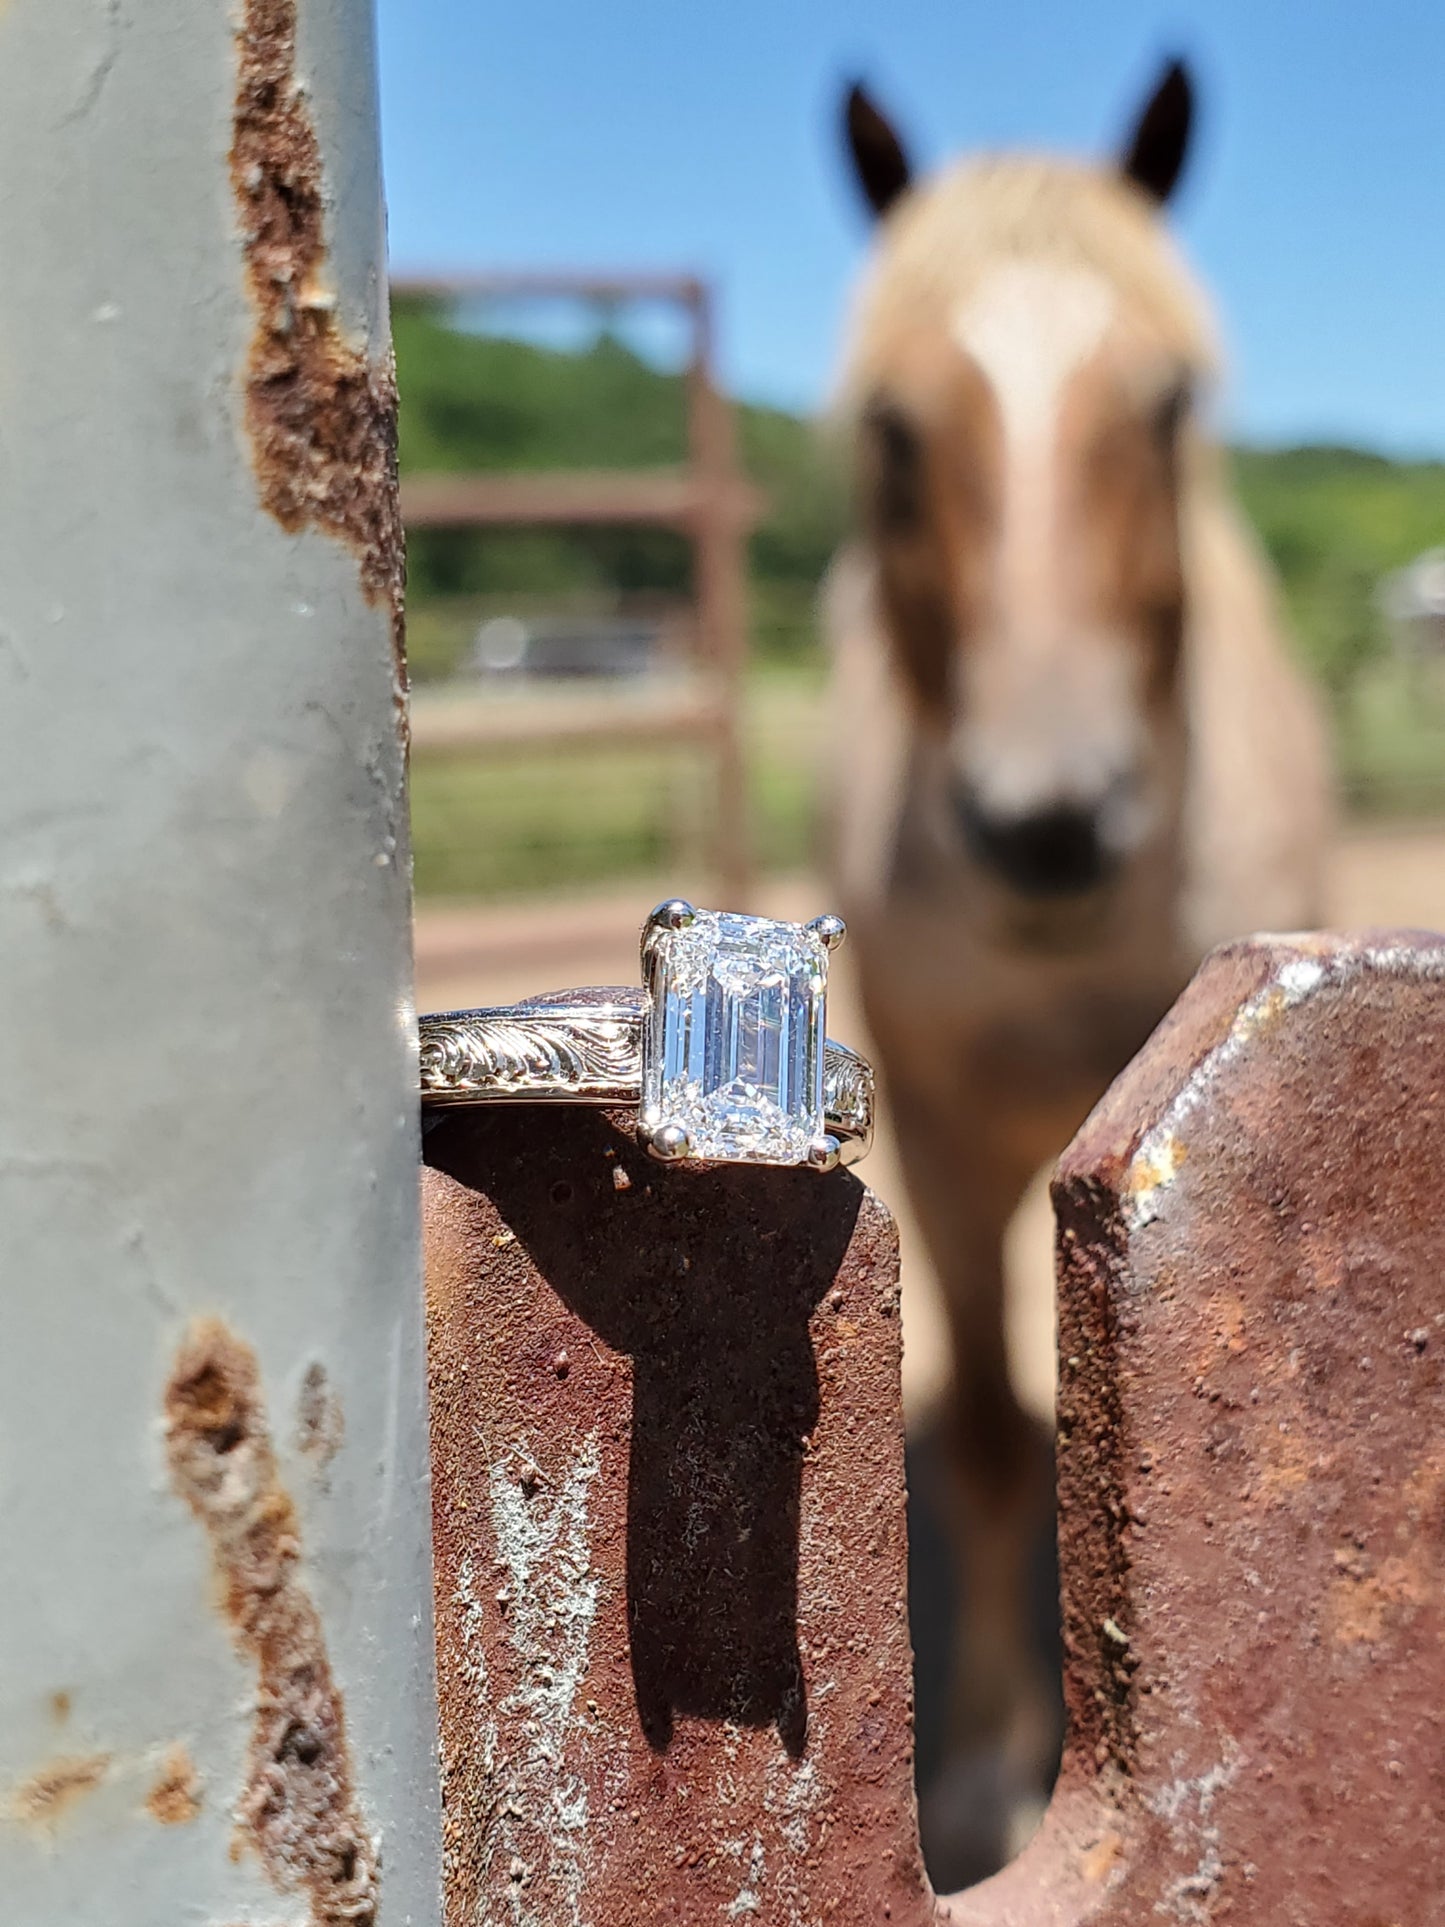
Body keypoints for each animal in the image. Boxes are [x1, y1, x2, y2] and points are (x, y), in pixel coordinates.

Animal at [824, 60, 1333, 1880]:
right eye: (893, 428)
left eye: (1166, 405)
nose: (1046, 822)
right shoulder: (939, 1128)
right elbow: (983, 1431)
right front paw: (986, 1767)